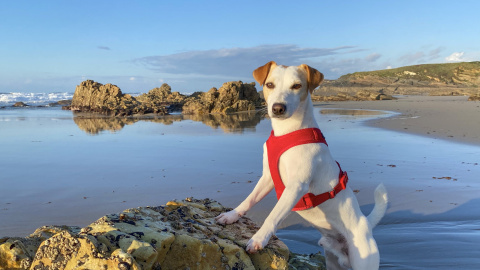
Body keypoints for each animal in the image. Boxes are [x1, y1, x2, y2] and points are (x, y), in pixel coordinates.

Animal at [216, 61, 388, 270]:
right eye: (270, 84)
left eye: (297, 86)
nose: (278, 108)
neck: (287, 132)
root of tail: (365, 224)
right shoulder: (267, 178)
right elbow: (249, 199)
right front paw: (231, 215)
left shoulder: (296, 187)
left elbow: (272, 215)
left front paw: (258, 239)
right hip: (333, 261)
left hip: (363, 259)